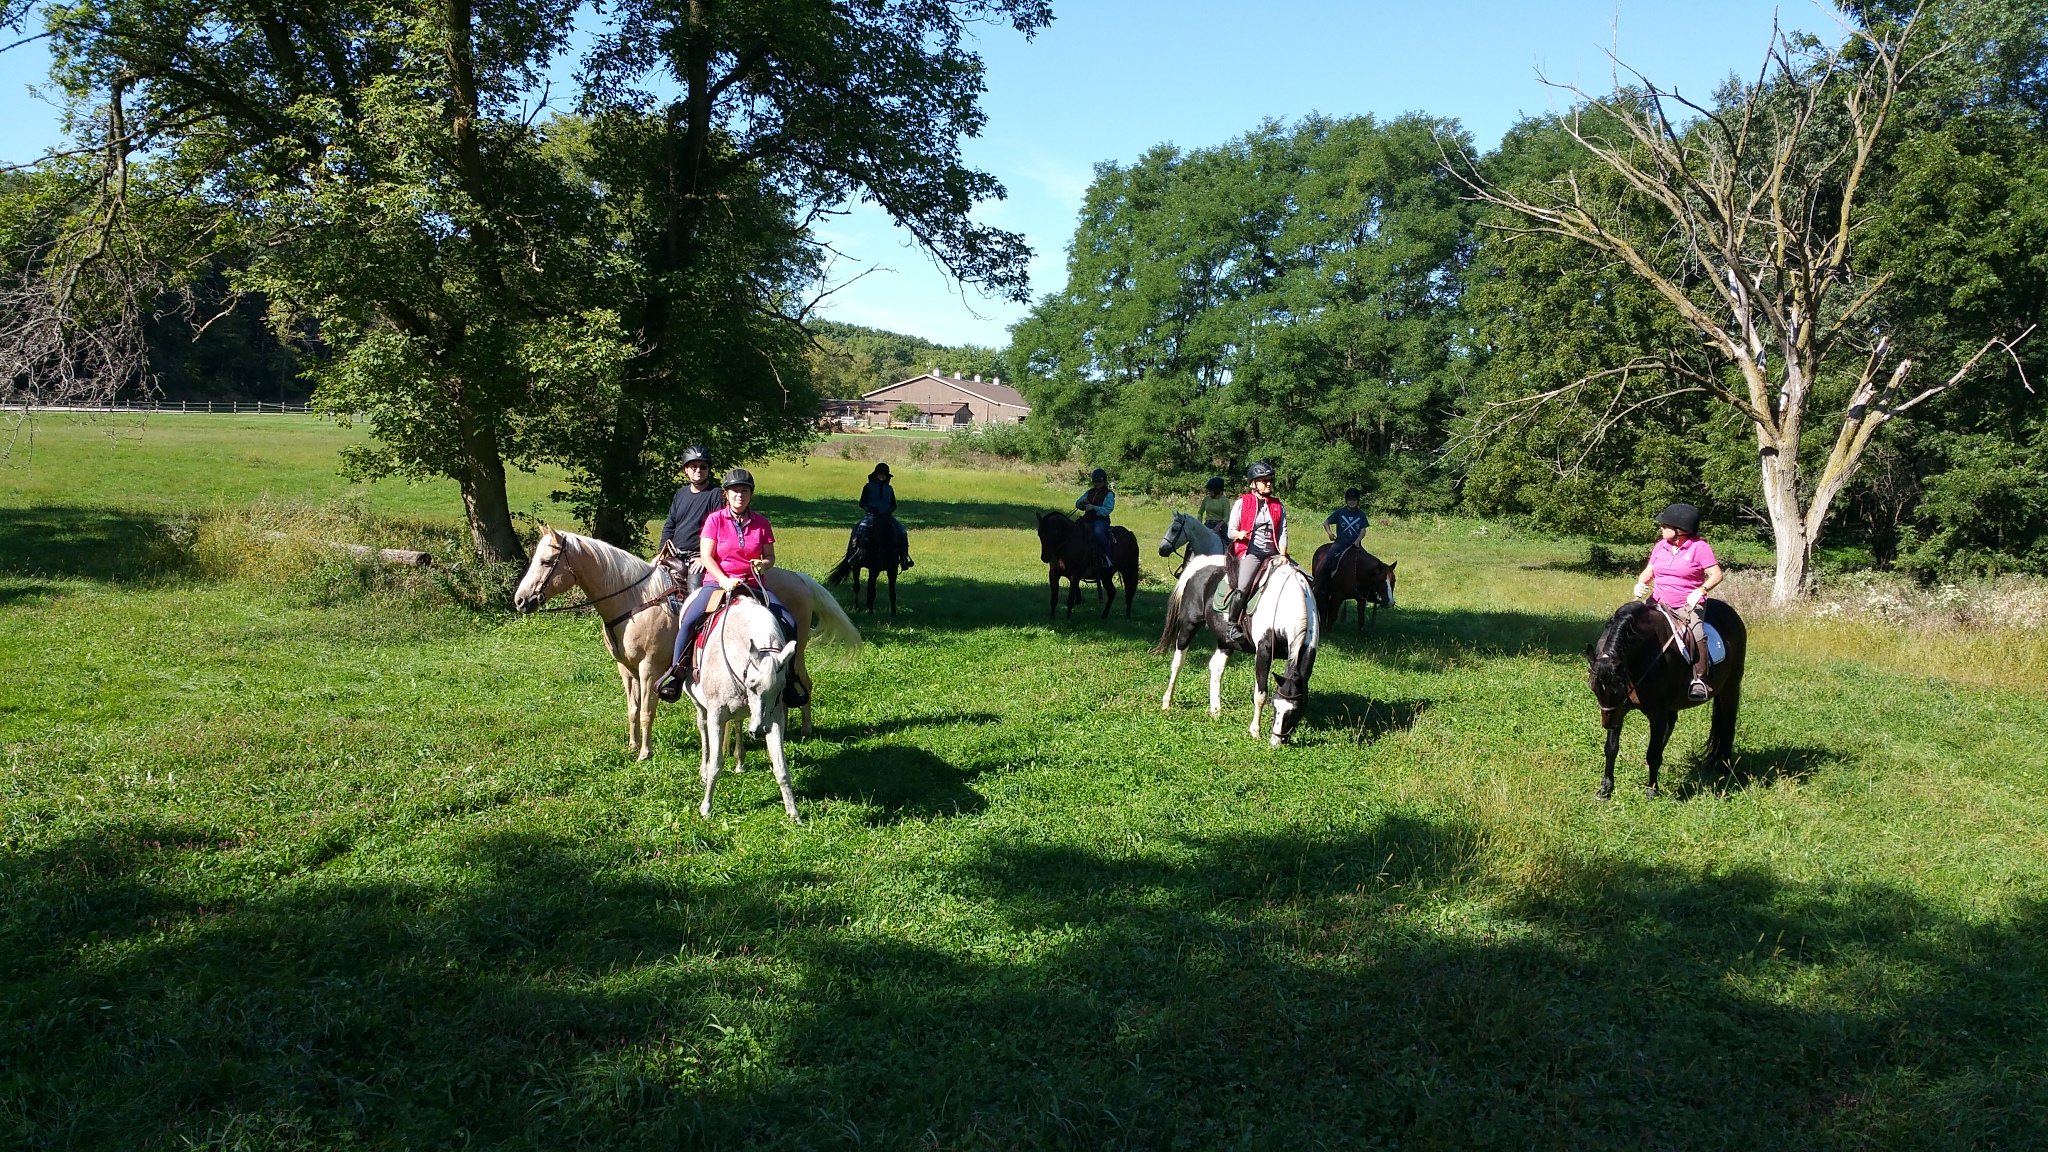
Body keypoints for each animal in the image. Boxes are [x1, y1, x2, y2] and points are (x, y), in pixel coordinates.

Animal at [520, 528, 864, 754]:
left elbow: (647, 710)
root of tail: (800, 580)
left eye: (547, 561)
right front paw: (632, 745)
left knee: (804, 682)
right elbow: (632, 708)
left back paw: (804, 728)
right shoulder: (625, 668)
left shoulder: (649, 668)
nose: (521, 600)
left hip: (796, 650)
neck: (635, 602)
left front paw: (645, 752)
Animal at [696, 590, 806, 815]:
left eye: (780, 688)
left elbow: (781, 767)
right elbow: (715, 764)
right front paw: (706, 808)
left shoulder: (775, 716)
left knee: (737, 723)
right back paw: (703, 769)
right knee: (702, 728)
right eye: (752, 684)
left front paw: (793, 813)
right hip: (700, 705)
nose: (760, 731)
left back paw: (740, 761)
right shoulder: (716, 713)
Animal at [1155, 557, 1327, 746]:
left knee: (1216, 667)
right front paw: (1255, 731)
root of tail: (1201, 562)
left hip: (1225, 640)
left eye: (1295, 711)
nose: (1275, 742)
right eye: (1275, 705)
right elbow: (1260, 694)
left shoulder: (1309, 650)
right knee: (1178, 663)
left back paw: (1216, 711)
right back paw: (1167, 703)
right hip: (1188, 626)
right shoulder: (1264, 652)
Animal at [1581, 594, 1744, 795]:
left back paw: (1725, 767)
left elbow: (1652, 752)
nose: (1608, 724)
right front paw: (1606, 788)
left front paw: (1652, 789)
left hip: (1730, 688)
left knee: (1728, 725)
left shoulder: (1656, 711)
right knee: (1671, 725)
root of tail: (1732, 614)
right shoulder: (1620, 709)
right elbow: (1611, 748)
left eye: (1617, 689)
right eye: (1593, 687)